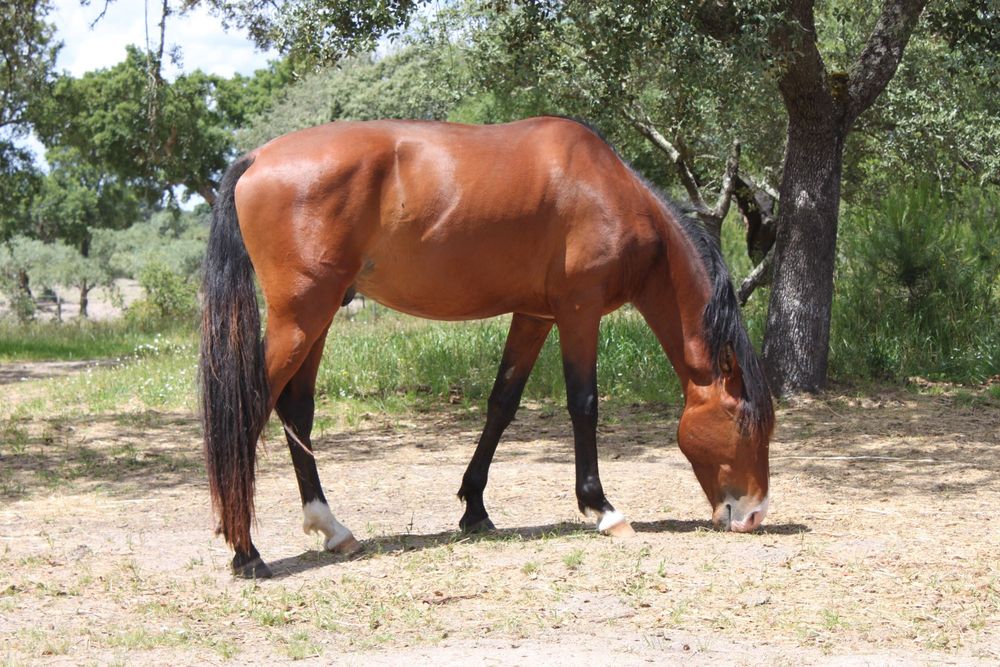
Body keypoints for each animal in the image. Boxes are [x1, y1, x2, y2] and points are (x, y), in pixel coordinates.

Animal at [199, 117, 774, 578]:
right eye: (744, 422)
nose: (753, 515)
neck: (607, 189)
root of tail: (257, 158)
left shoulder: (535, 315)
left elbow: (502, 402)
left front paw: (474, 508)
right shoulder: (579, 311)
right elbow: (584, 404)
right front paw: (602, 508)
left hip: (318, 317)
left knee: (295, 408)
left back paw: (332, 529)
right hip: (301, 317)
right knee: (251, 407)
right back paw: (247, 553)